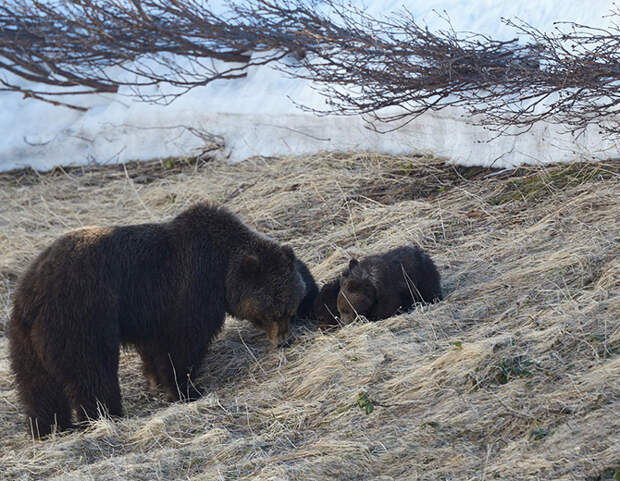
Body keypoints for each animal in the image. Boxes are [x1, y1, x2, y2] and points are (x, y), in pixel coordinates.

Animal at [6, 202, 302, 438]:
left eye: (292, 308)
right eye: (276, 311)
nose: (285, 341)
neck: (222, 268)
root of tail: (32, 292)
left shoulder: (150, 314)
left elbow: (153, 348)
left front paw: (156, 381)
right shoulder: (188, 288)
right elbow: (183, 342)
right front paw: (187, 389)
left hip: (24, 337)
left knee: (37, 385)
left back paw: (49, 427)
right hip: (82, 316)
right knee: (92, 369)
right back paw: (107, 415)